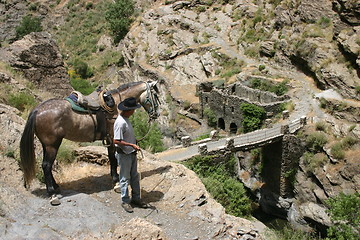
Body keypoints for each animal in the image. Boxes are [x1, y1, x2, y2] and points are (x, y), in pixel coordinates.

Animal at [19, 81, 160, 204]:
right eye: (155, 95)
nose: (156, 114)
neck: (118, 104)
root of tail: (37, 110)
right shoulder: (113, 138)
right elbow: (113, 159)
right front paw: (116, 182)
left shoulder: (108, 139)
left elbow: (111, 158)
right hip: (52, 145)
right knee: (46, 165)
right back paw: (52, 194)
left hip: (46, 145)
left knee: (47, 165)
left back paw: (56, 187)